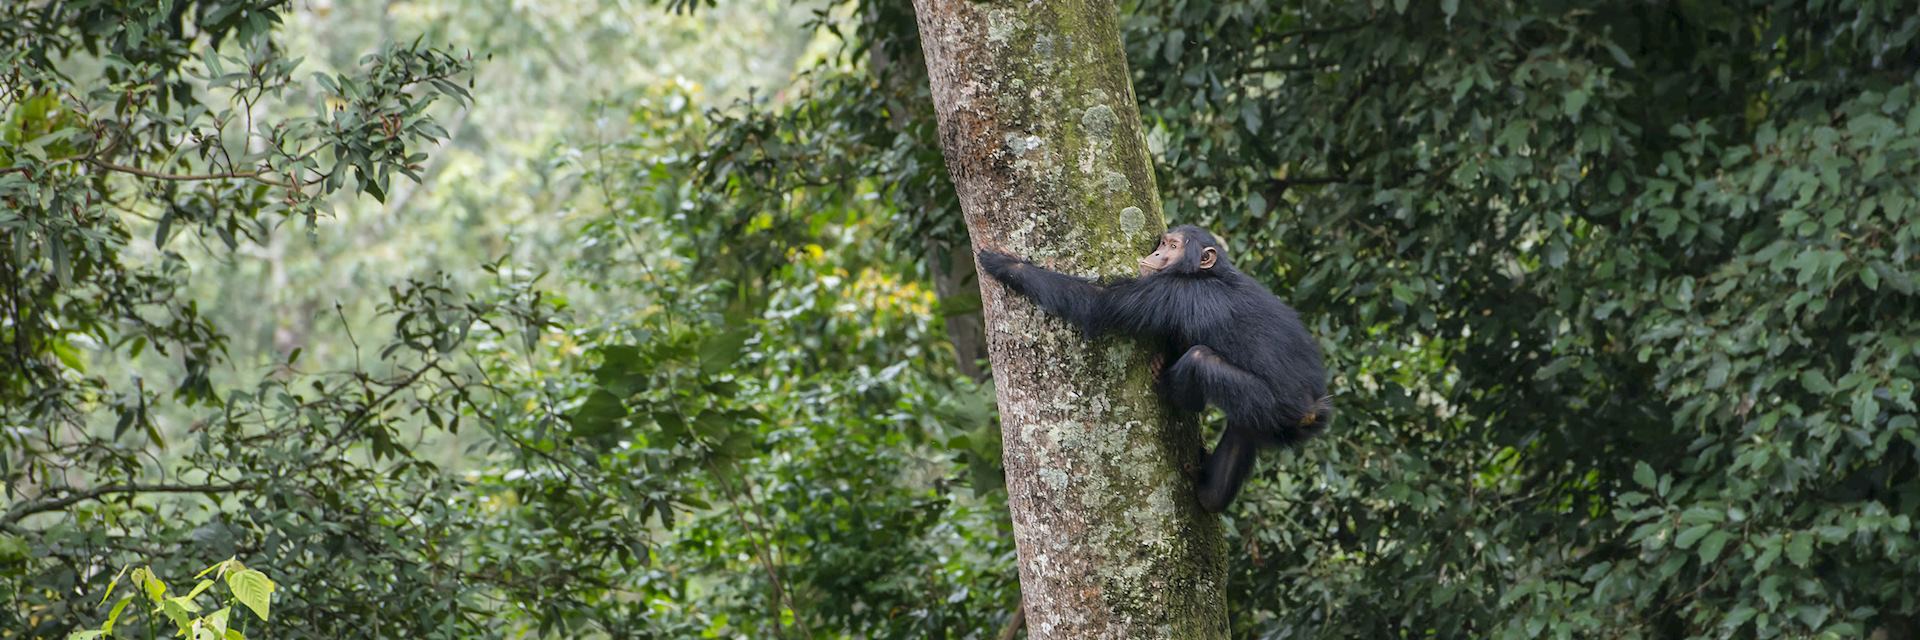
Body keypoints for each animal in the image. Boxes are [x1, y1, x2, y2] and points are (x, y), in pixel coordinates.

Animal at [983, 226, 1328, 511]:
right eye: (1163, 242)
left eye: (1173, 246)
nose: (1158, 252)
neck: (1207, 273)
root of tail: (1313, 410)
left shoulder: (1169, 290)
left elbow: (1099, 304)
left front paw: (1006, 265)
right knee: (1241, 434)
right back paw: (1209, 492)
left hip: (1266, 404)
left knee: (1200, 359)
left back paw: (1169, 386)